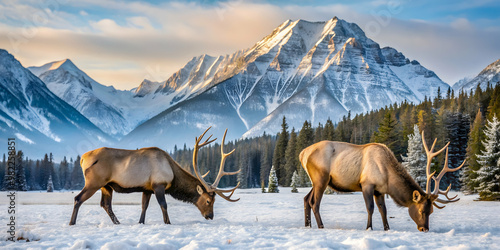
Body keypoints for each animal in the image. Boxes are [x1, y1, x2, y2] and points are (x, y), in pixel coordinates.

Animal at [69, 128, 239, 226]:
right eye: (209, 201)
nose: (210, 216)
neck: (173, 175)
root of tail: (82, 158)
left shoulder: (147, 188)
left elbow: (144, 206)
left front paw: (141, 222)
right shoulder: (159, 185)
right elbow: (164, 205)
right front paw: (168, 222)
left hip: (107, 185)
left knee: (105, 204)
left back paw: (117, 222)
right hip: (94, 182)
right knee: (78, 198)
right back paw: (72, 223)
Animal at [298, 132, 462, 231]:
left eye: (432, 211)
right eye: (421, 210)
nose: (425, 229)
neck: (388, 177)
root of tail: (302, 154)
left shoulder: (380, 191)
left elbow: (384, 210)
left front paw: (387, 228)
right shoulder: (367, 185)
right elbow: (370, 208)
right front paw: (369, 228)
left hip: (316, 181)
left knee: (306, 198)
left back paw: (307, 225)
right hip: (321, 178)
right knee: (315, 202)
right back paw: (321, 226)